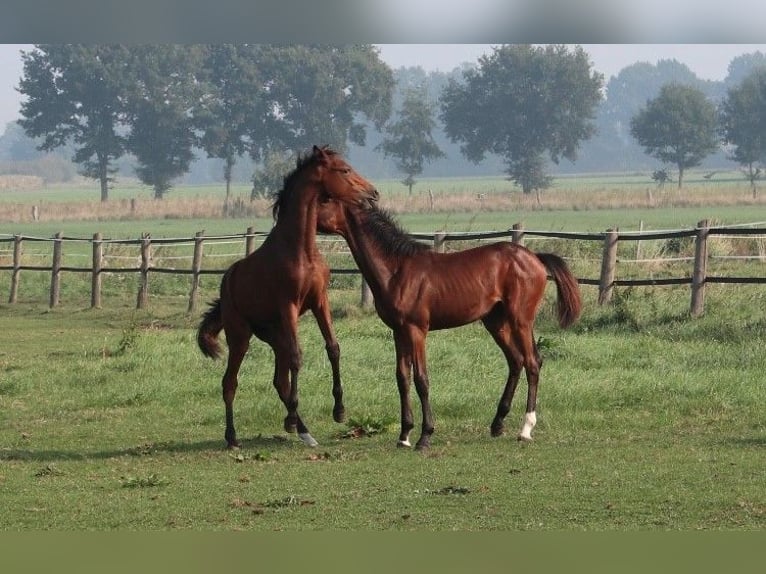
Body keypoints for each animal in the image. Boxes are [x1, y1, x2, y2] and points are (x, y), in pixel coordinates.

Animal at [196, 145, 380, 450]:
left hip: (275, 336)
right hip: (240, 336)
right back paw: (233, 437)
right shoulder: (289, 306)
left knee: (279, 381)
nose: (373, 194)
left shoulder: (319, 301)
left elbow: (333, 348)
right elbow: (298, 357)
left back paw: (303, 431)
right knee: (230, 382)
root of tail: (228, 282)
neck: (301, 250)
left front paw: (339, 411)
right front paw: (295, 419)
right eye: (344, 170)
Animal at [316, 196, 584, 452]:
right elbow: (402, 378)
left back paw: (526, 429)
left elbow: (421, 380)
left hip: (521, 320)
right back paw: (497, 424)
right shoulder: (398, 332)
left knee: (532, 362)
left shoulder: (416, 330)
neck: (397, 269)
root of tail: (535, 258)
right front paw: (404, 436)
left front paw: (425, 436)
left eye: (325, 201)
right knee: (516, 361)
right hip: (496, 323)